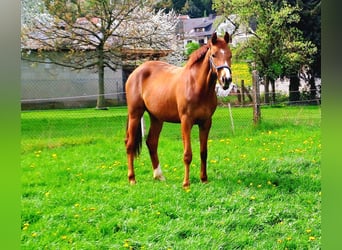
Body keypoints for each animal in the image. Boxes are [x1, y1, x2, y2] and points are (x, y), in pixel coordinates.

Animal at [124, 32, 231, 187]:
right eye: (214, 55)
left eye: (230, 55)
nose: (226, 80)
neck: (197, 86)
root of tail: (135, 72)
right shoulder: (186, 122)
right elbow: (187, 154)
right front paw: (186, 183)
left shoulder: (206, 123)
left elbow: (203, 152)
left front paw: (204, 179)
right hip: (135, 114)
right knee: (130, 144)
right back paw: (132, 178)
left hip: (157, 118)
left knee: (151, 142)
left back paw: (159, 176)